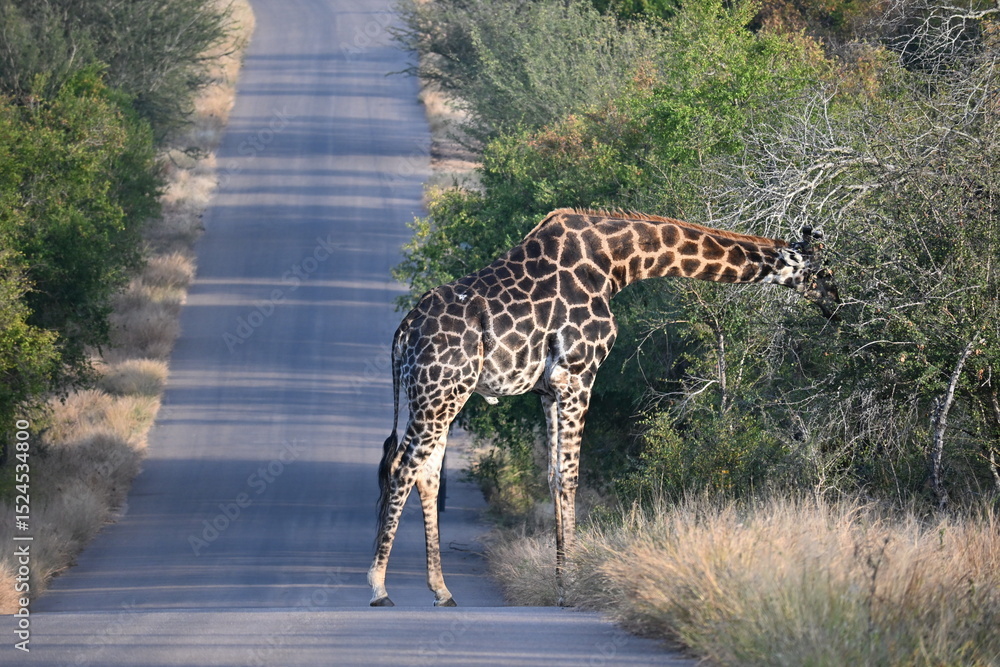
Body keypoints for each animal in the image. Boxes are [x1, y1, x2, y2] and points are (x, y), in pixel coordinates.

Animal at [368, 208, 838, 607]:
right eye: (821, 271)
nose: (836, 302)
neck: (617, 262)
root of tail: (403, 331)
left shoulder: (548, 389)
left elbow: (554, 476)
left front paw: (562, 580)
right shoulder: (578, 374)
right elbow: (571, 477)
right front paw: (572, 585)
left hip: (440, 393)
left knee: (426, 473)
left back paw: (442, 591)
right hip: (440, 391)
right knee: (402, 467)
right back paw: (378, 587)